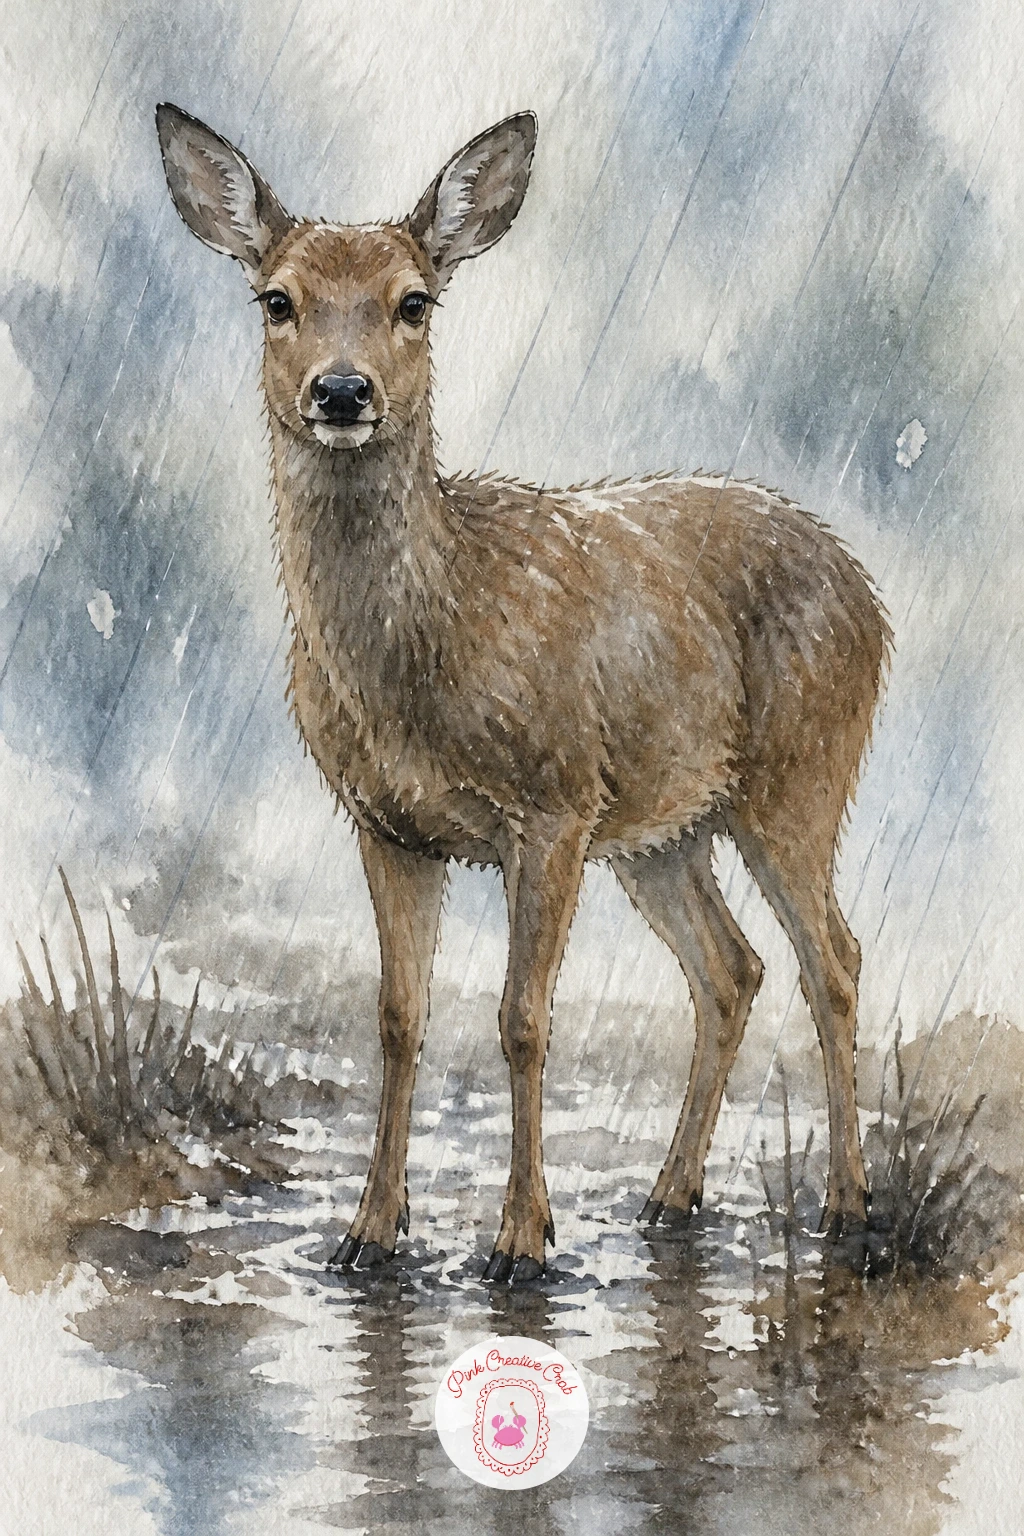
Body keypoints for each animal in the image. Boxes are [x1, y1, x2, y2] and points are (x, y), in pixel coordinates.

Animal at [156, 103, 890, 1284]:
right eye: (277, 299)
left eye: (415, 300)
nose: (343, 391)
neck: (429, 648)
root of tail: (867, 592)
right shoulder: (387, 823)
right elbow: (399, 1018)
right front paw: (368, 1233)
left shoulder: (548, 805)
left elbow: (522, 1018)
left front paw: (518, 1243)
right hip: (662, 827)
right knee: (731, 969)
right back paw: (669, 1198)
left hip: (800, 774)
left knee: (834, 959)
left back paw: (848, 1208)